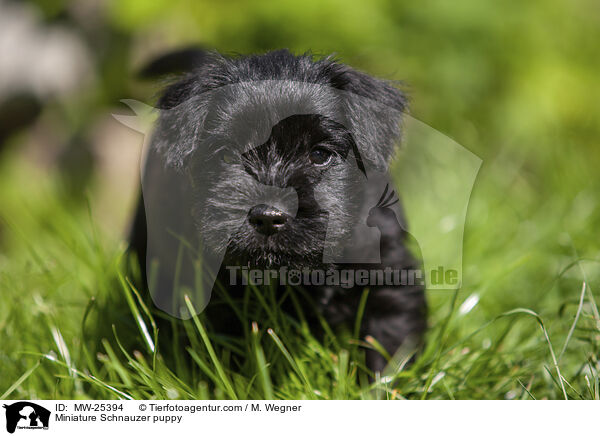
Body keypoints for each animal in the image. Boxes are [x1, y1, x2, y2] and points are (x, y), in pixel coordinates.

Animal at [130, 49, 426, 372]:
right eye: (227, 155)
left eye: (319, 154)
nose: (269, 218)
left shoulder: (387, 276)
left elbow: (389, 345)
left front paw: (386, 382)